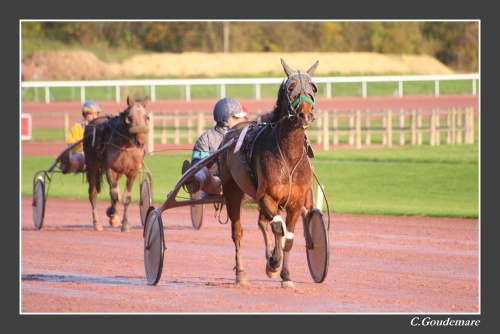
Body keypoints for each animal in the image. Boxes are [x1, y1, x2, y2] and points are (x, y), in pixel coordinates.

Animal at [83, 96, 150, 232]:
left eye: (146, 117)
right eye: (129, 118)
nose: (141, 141)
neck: (126, 146)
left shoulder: (133, 172)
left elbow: (126, 197)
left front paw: (125, 223)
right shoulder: (109, 169)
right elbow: (114, 195)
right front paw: (112, 214)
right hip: (92, 165)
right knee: (93, 193)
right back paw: (97, 223)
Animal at [220, 58, 320, 288]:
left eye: (313, 88)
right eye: (291, 87)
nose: (305, 114)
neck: (289, 158)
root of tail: (233, 131)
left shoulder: (296, 203)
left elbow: (288, 238)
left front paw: (286, 276)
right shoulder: (266, 197)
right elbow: (277, 229)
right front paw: (273, 263)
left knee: (263, 223)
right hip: (232, 191)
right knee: (238, 232)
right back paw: (241, 274)